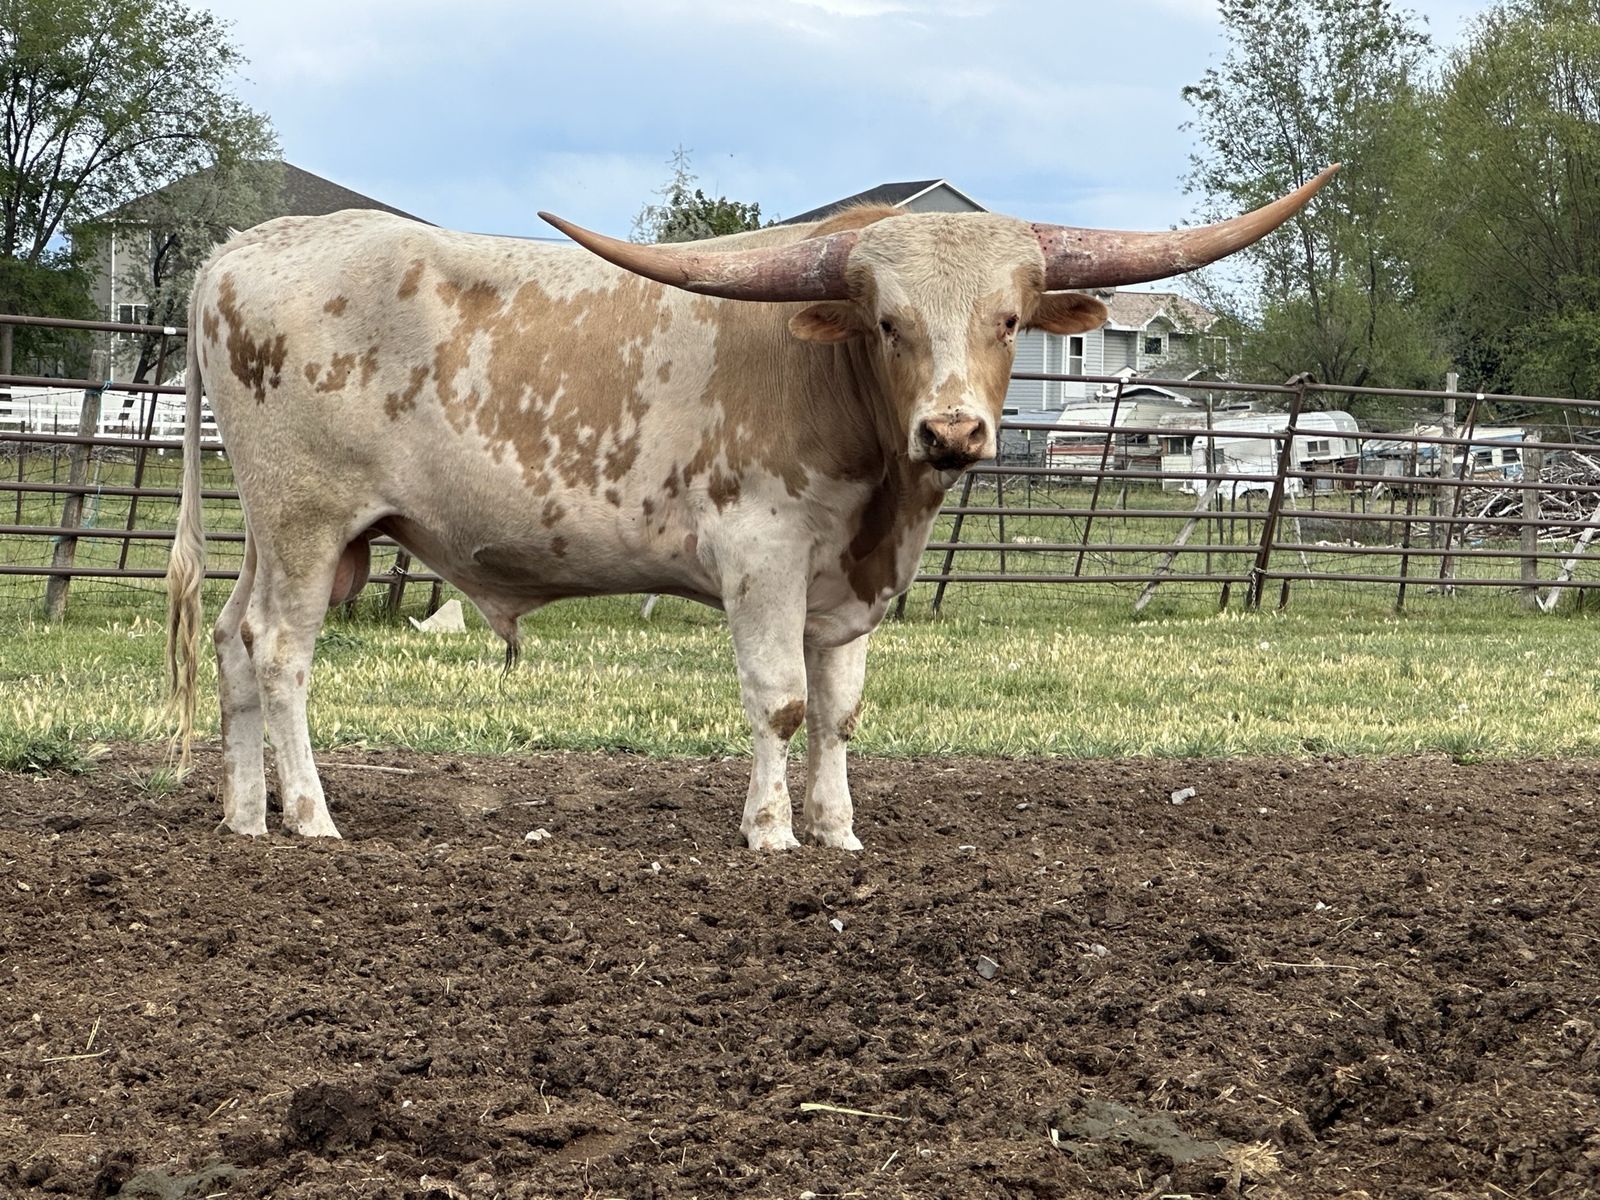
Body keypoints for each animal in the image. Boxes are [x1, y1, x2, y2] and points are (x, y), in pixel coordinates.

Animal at [165, 166, 1336, 849]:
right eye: (887, 321)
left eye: (1009, 320)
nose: (953, 432)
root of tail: (240, 250)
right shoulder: (761, 558)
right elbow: (778, 702)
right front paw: (771, 833)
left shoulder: (845, 590)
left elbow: (838, 711)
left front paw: (839, 832)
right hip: (308, 522)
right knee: (281, 653)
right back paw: (312, 816)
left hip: (284, 532)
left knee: (231, 640)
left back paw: (244, 816)